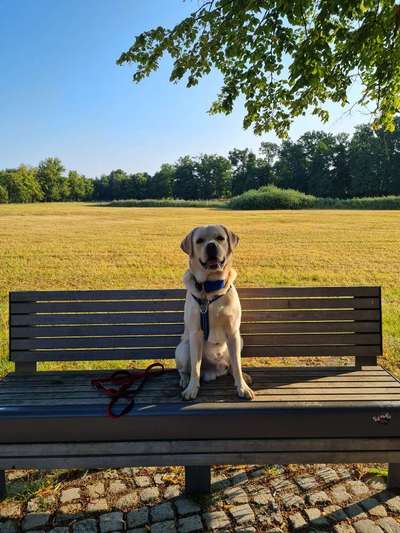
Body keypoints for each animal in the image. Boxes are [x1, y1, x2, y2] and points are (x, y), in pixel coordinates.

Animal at [174, 222, 255, 402]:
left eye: (220, 238)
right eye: (199, 241)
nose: (211, 246)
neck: (211, 288)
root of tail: (213, 371)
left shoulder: (233, 332)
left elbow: (237, 365)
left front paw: (242, 387)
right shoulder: (195, 334)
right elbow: (195, 368)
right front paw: (192, 388)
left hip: (240, 340)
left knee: (232, 366)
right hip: (183, 348)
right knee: (185, 370)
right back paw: (184, 381)